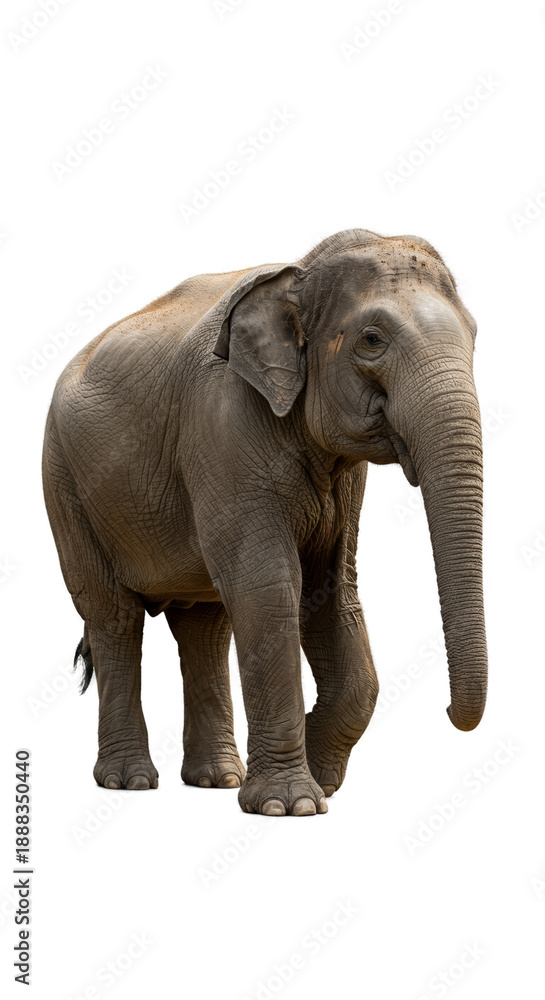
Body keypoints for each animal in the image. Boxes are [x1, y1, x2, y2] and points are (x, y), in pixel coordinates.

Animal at [42, 228, 487, 816]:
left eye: (475, 335)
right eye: (372, 339)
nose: (450, 715)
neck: (298, 272)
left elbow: (332, 592)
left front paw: (319, 778)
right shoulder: (222, 427)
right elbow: (270, 586)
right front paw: (290, 805)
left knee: (204, 625)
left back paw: (217, 779)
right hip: (64, 481)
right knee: (113, 616)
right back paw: (129, 781)